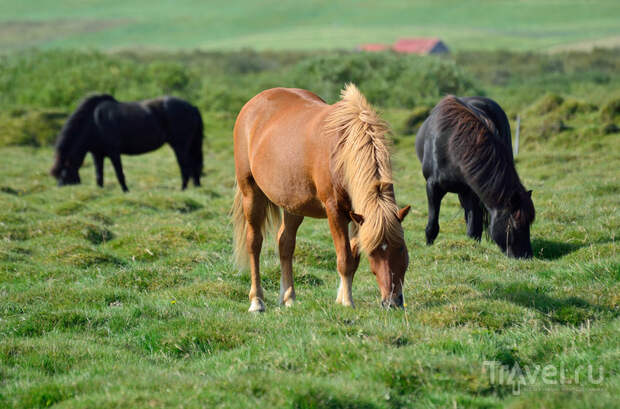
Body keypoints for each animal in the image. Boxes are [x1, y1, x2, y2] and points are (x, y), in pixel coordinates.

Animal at [50, 94, 205, 191]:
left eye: (63, 173)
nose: (59, 188)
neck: (94, 122)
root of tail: (192, 107)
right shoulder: (97, 154)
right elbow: (99, 175)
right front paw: (100, 191)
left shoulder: (113, 153)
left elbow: (119, 173)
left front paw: (125, 190)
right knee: (194, 166)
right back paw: (196, 187)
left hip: (180, 146)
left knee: (186, 167)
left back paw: (183, 189)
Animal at [230, 83, 410, 312]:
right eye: (373, 252)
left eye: (401, 248)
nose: (392, 302)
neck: (344, 149)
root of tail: (253, 103)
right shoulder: (335, 211)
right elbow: (345, 259)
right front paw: (347, 302)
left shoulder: (357, 215)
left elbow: (353, 257)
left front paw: (341, 297)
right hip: (251, 194)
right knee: (254, 243)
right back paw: (257, 301)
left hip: (293, 204)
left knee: (285, 244)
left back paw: (288, 297)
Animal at [414, 95, 536, 258]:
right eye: (514, 224)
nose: (526, 256)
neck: (449, 145)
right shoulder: (432, 187)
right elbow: (432, 225)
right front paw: (429, 245)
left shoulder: (470, 191)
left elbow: (473, 228)